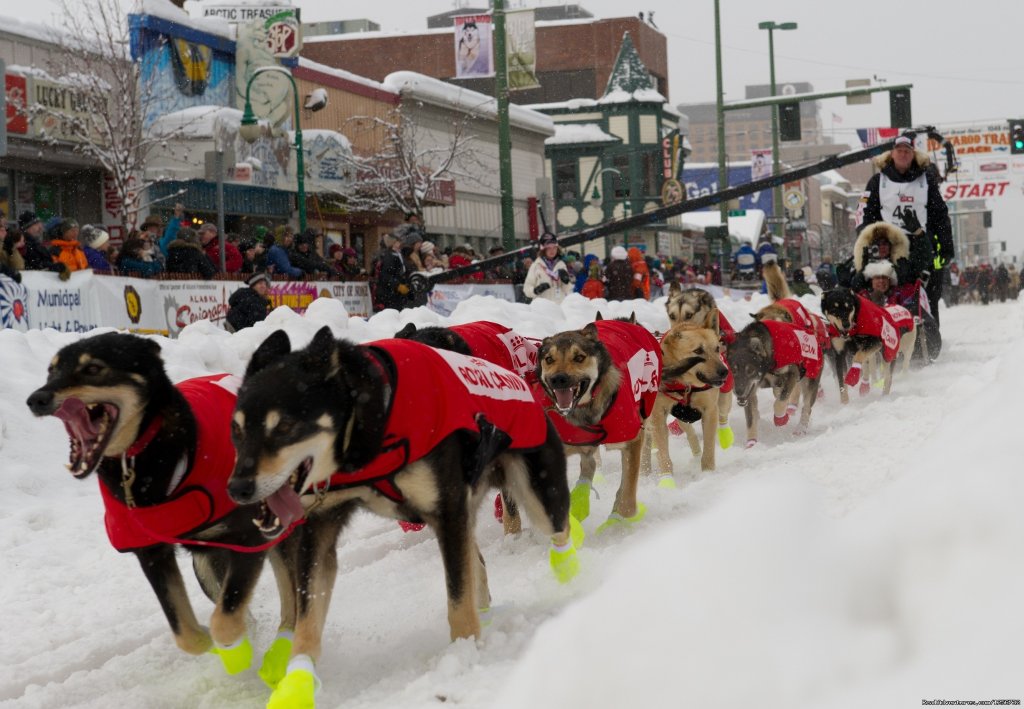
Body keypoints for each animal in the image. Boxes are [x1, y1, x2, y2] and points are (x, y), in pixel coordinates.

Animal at [24, 331, 296, 688]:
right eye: (51, 371)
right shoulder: (151, 552)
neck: (143, 455)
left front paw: (237, 652)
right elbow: (187, 633)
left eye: (93, 368)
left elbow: (226, 621)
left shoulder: (248, 539)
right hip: (205, 565)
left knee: (293, 598)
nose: (36, 399)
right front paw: (217, 646)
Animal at [226, 325, 577, 709]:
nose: (237, 488)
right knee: (477, 562)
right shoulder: (321, 530)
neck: (372, 418)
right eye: (237, 430)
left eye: (286, 426)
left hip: (539, 496)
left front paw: (464, 655)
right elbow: (307, 620)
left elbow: (457, 602)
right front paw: (296, 686)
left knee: (559, 531)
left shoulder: (446, 512)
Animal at [532, 317, 659, 532]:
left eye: (579, 357)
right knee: (589, 462)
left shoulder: (632, 439)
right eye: (549, 359)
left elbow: (627, 495)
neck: (585, 409)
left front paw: (615, 522)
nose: (558, 379)